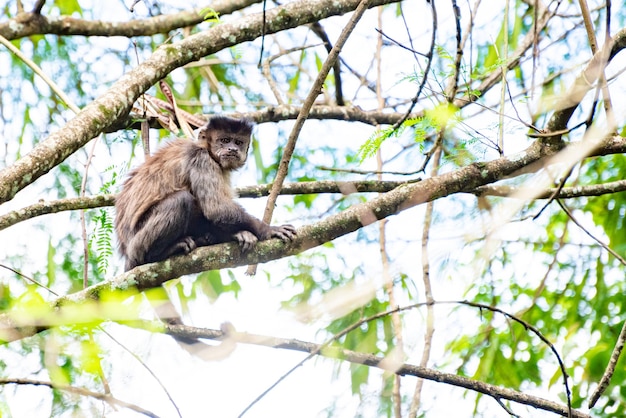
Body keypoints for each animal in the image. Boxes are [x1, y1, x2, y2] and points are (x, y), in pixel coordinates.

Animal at [115, 114, 298, 272]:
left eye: (238, 142)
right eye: (224, 140)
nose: (232, 149)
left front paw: (236, 234)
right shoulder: (201, 159)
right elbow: (216, 209)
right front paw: (267, 230)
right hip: (137, 246)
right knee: (181, 200)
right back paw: (157, 255)